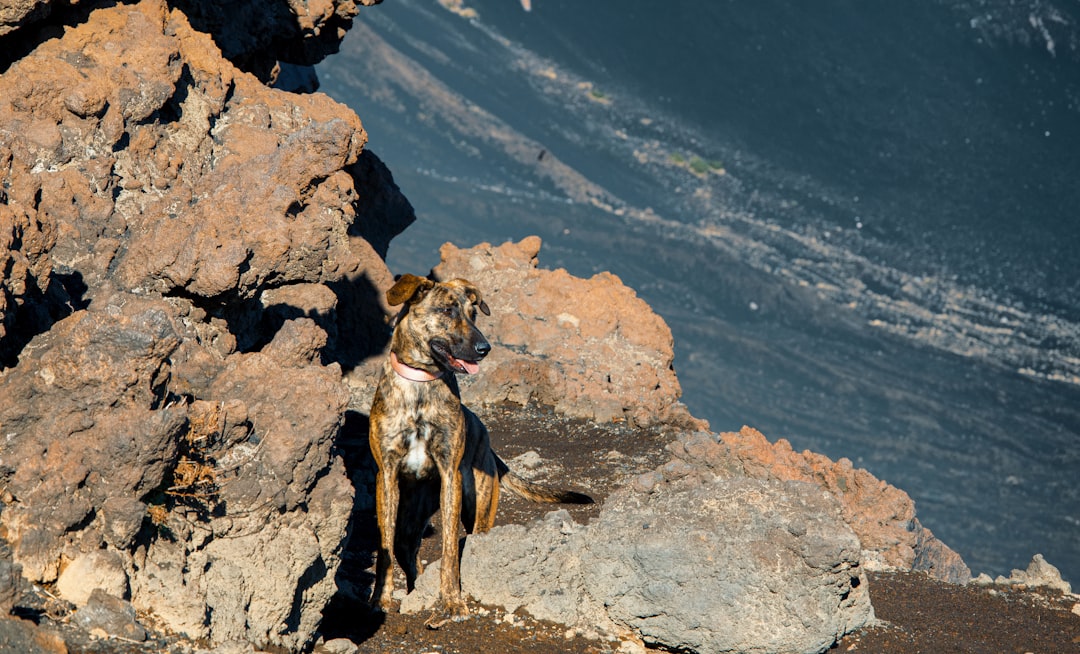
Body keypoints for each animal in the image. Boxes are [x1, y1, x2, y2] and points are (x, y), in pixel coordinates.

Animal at [369, 274, 591, 625]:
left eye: (473, 313)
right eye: (447, 310)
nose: (484, 349)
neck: (420, 387)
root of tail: (488, 442)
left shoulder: (450, 477)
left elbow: (449, 548)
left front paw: (452, 602)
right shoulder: (386, 475)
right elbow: (385, 547)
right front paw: (381, 599)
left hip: (478, 507)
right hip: (413, 506)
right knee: (402, 544)